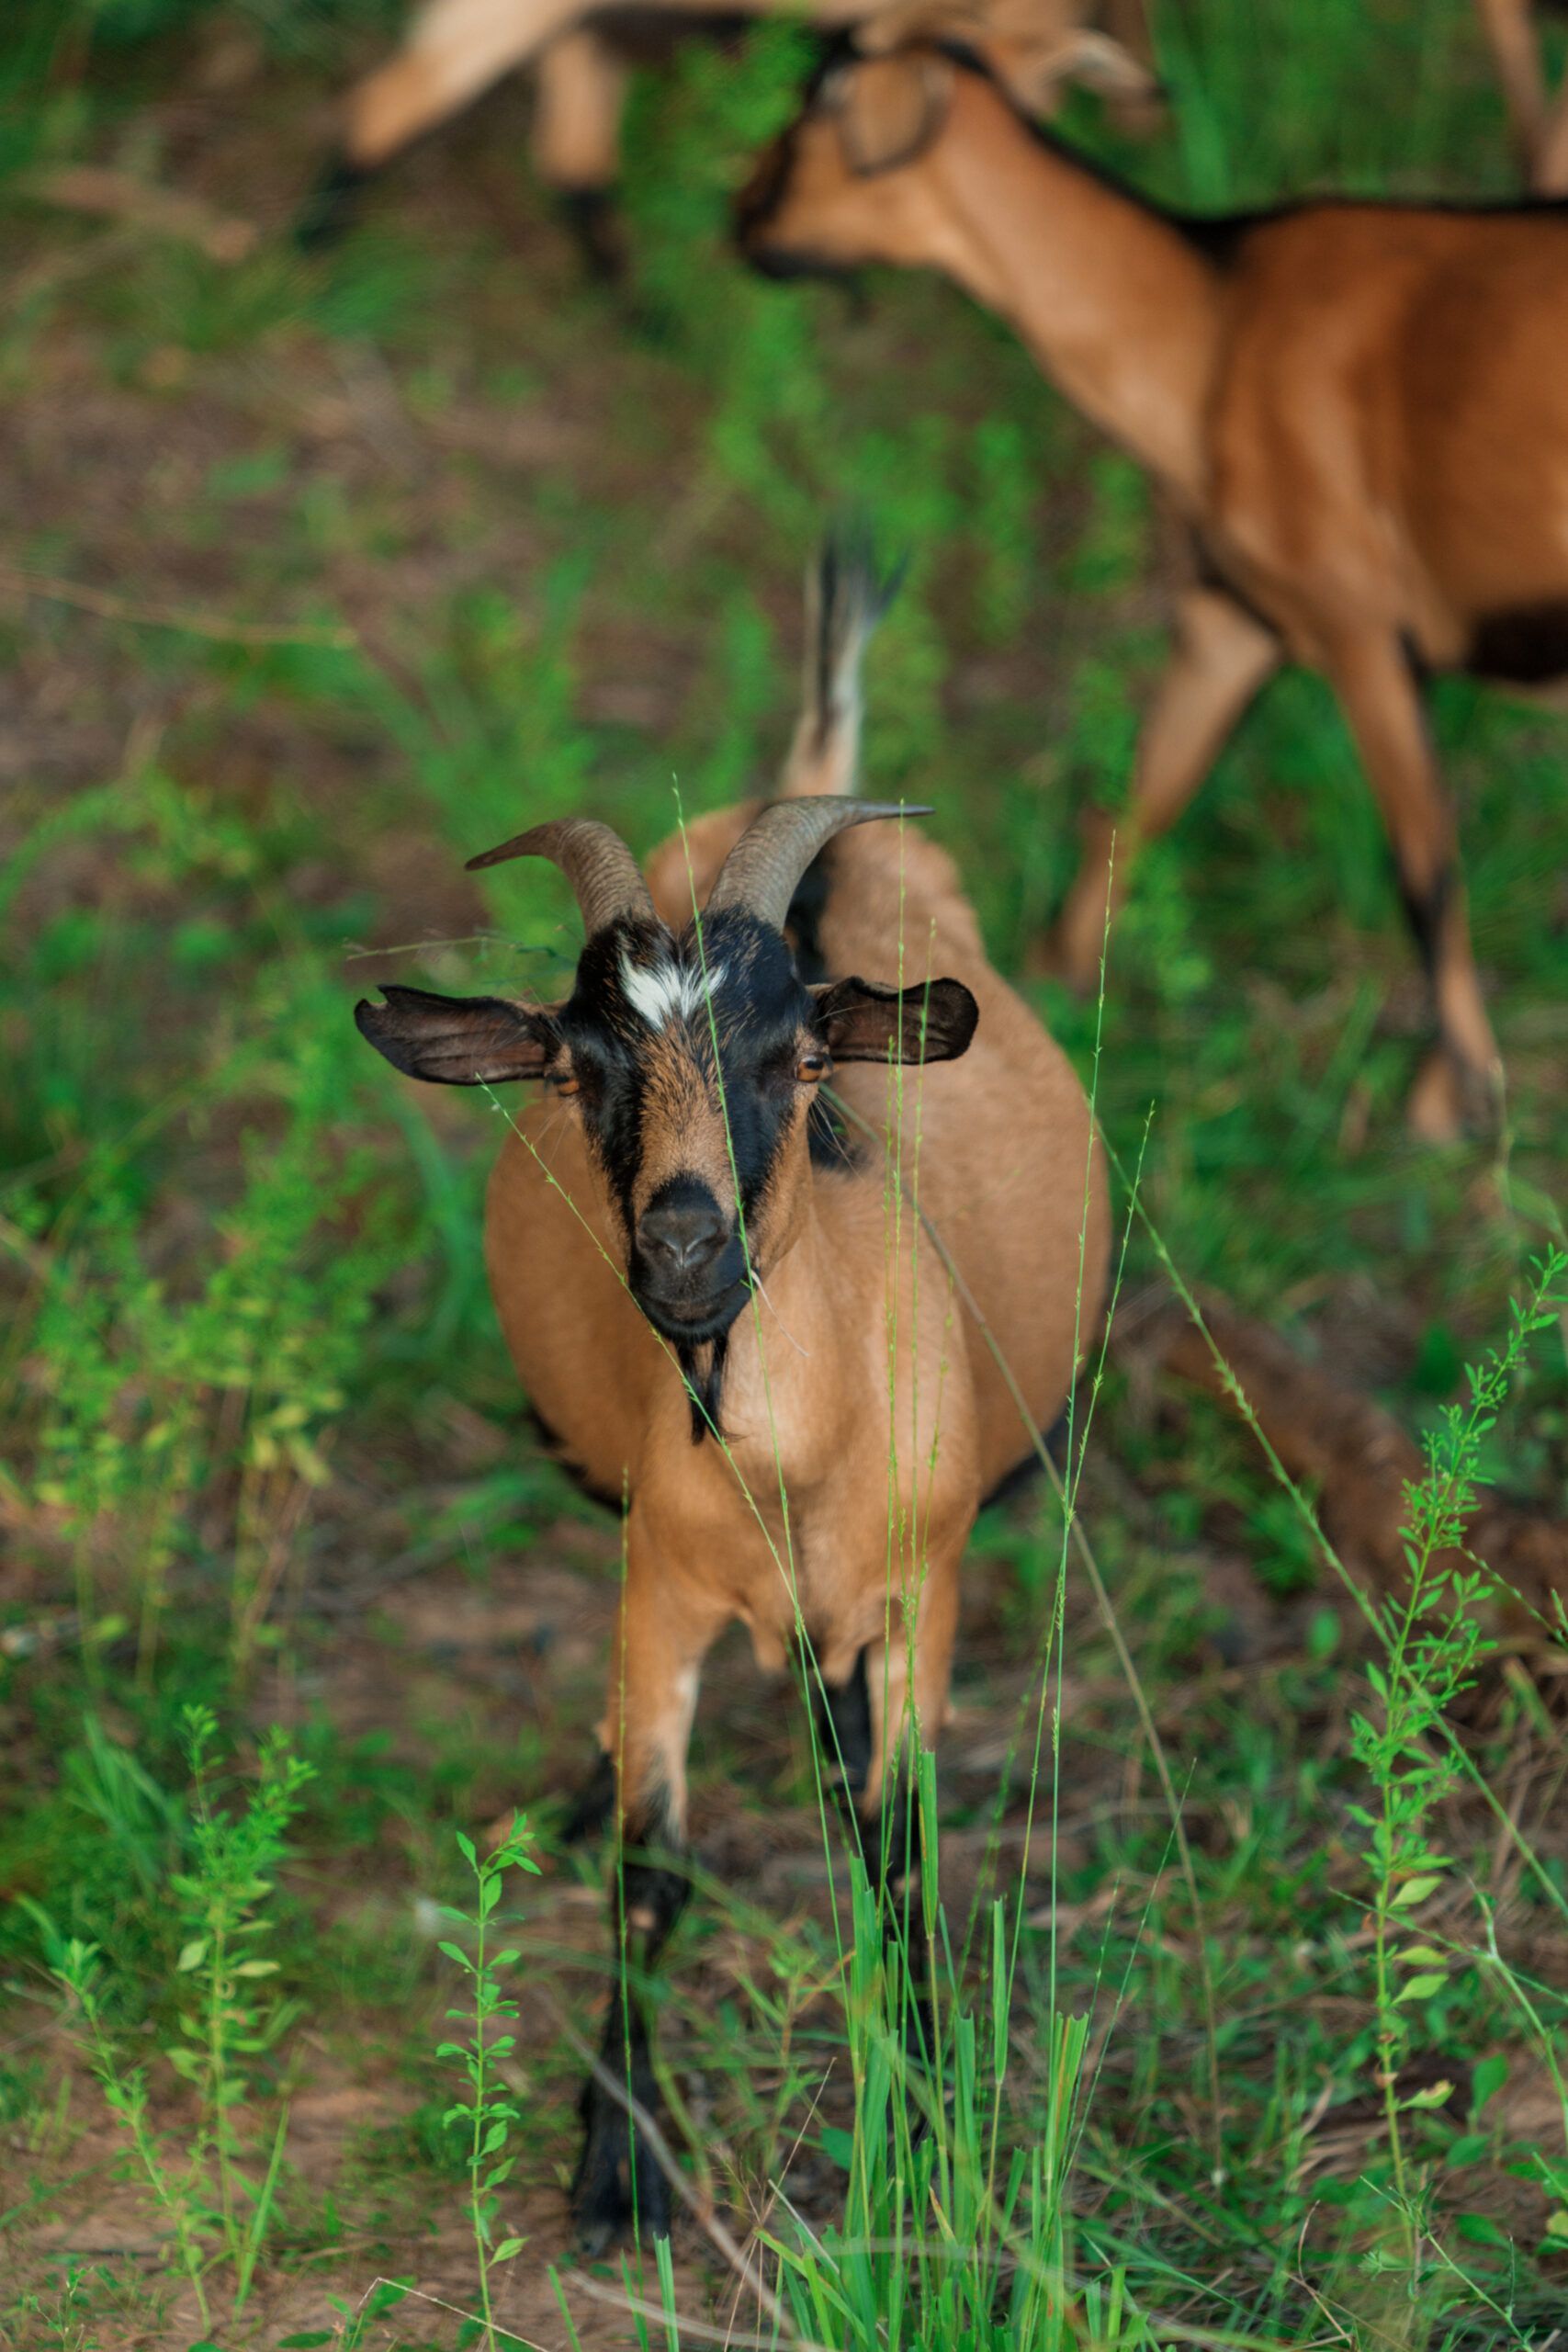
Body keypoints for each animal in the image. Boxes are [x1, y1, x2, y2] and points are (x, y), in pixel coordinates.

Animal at [355, 538, 1109, 2243]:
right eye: (575, 1063)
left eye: (798, 1056)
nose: (685, 1246)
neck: (789, 1462)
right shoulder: (661, 1589)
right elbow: (657, 1865)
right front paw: (616, 2160)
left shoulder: (925, 1589)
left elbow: (900, 1846)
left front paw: (926, 2105)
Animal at [736, 35, 1568, 1139]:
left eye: (807, 119)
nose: (742, 221)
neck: (1210, 332)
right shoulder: (1235, 616)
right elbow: (1138, 801)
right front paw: (1045, 985)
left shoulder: (1355, 620)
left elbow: (1424, 867)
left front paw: (1455, 1100)